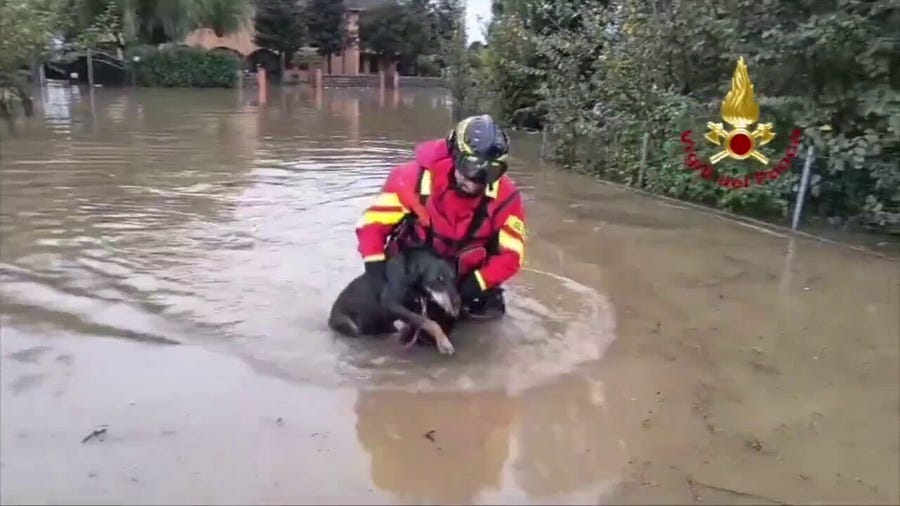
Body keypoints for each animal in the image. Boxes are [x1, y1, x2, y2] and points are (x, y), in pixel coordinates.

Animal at [326, 247, 460, 354]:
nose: (457, 305)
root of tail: (330, 318)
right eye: (438, 279)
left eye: (453, 278)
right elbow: (430, 322)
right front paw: (443, 342)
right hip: (350, 325)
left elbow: (422, 321)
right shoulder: (391, 304)